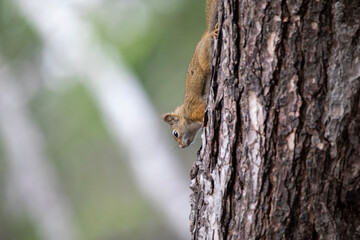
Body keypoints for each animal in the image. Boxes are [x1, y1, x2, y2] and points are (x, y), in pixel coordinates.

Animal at [162, 0, 217, 147]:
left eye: (175, 133)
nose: (182, 146)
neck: (185, 112)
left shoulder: (195, 108)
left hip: (204, 58)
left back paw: (213, 33)